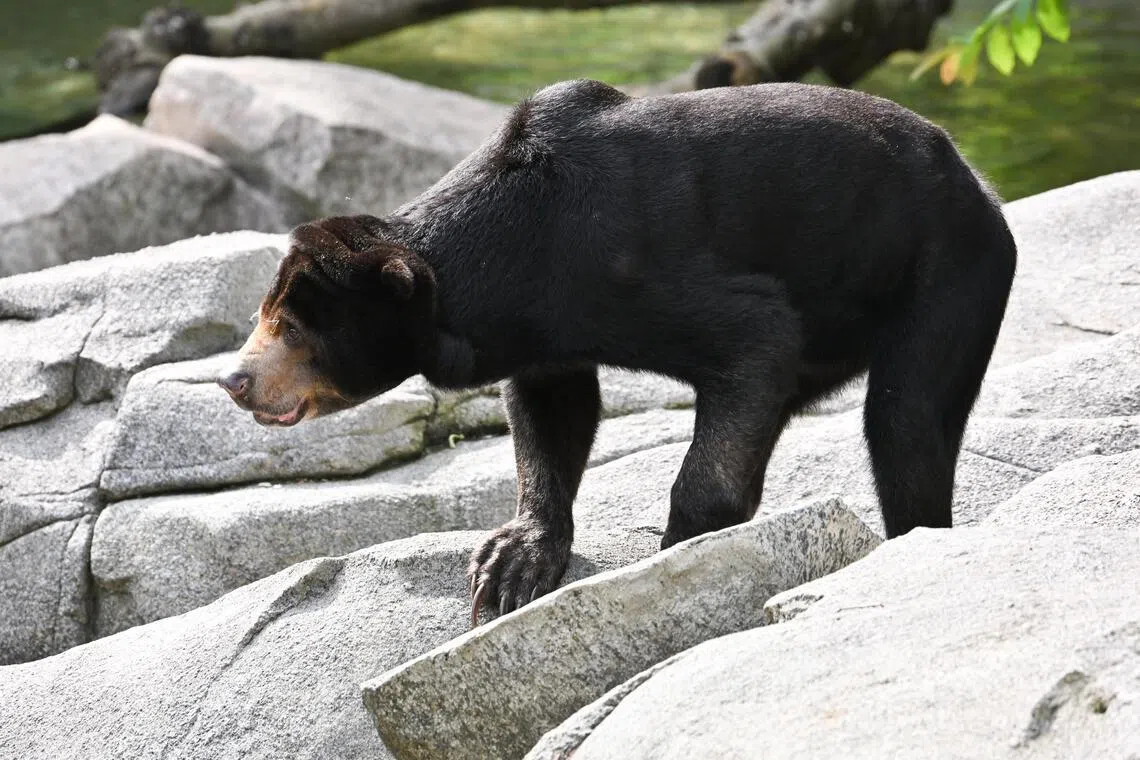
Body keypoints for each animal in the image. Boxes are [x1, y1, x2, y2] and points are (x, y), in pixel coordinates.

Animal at [218, 78, 1017, 624]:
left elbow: (756, 336)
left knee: (906, 420)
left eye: (292, 329)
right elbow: (554, 410)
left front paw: (677, 553)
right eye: (263, 316)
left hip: (947, 273)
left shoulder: (627, 268)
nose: (234, 380)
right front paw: (510, 565)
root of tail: (978, 182)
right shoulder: (541, 325)